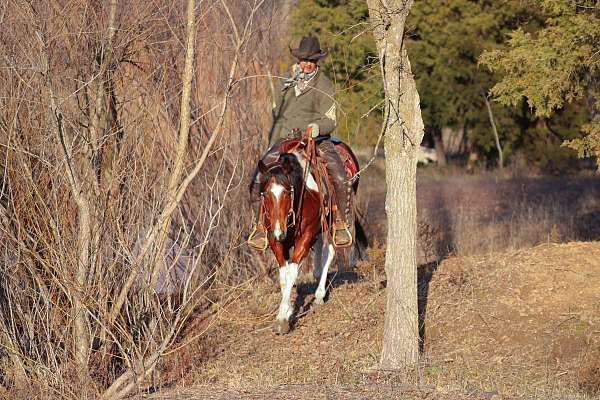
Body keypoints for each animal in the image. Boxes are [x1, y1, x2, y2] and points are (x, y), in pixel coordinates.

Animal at [256, 151, 368, 334]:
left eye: (287, 192)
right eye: (265, 194)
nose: (280, 233)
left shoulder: (305, 237)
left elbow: (292, 272)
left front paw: (282, 319)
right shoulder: (275, 241)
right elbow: (283, 275)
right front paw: (287, 309)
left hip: (330, 223)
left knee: (328, 252)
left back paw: (320, 295)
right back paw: (316, 274)